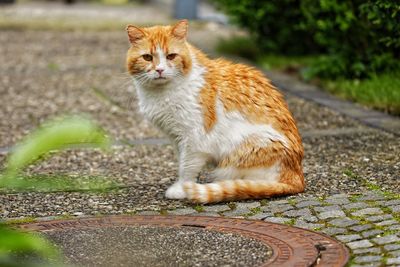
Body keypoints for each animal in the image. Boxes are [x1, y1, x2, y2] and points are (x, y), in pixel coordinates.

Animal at [126, 19, 304, 204]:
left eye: (171, 56)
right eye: (147, 57)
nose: (159, 70)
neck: (161, 93)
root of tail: (297, 177)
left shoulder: (193, 138)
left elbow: (187, 166)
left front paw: (182, 188)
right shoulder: (176, 137)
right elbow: (182, 161)